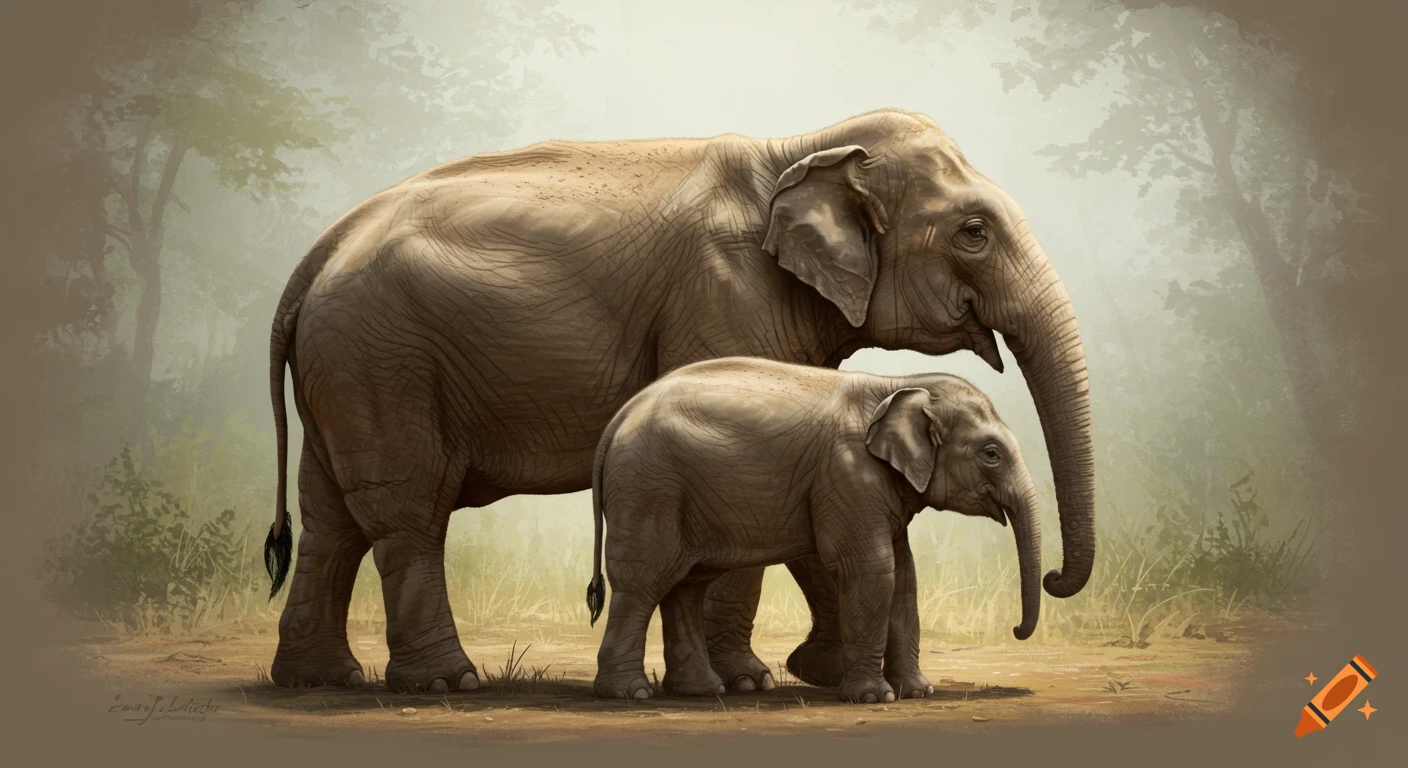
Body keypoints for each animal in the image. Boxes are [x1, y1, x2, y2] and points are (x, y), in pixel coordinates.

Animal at [584, 357, 1043, 703]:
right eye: (991, 453)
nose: (1016, 630)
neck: (901, 384)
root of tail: (616, 421)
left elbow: (904, 577)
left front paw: (917, 693)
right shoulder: (847, 473)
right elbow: (872, 568)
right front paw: (874, 698)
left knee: (686, 585)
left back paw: (700, 691)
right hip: (648, 489)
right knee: (644, 582)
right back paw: (630, 694)